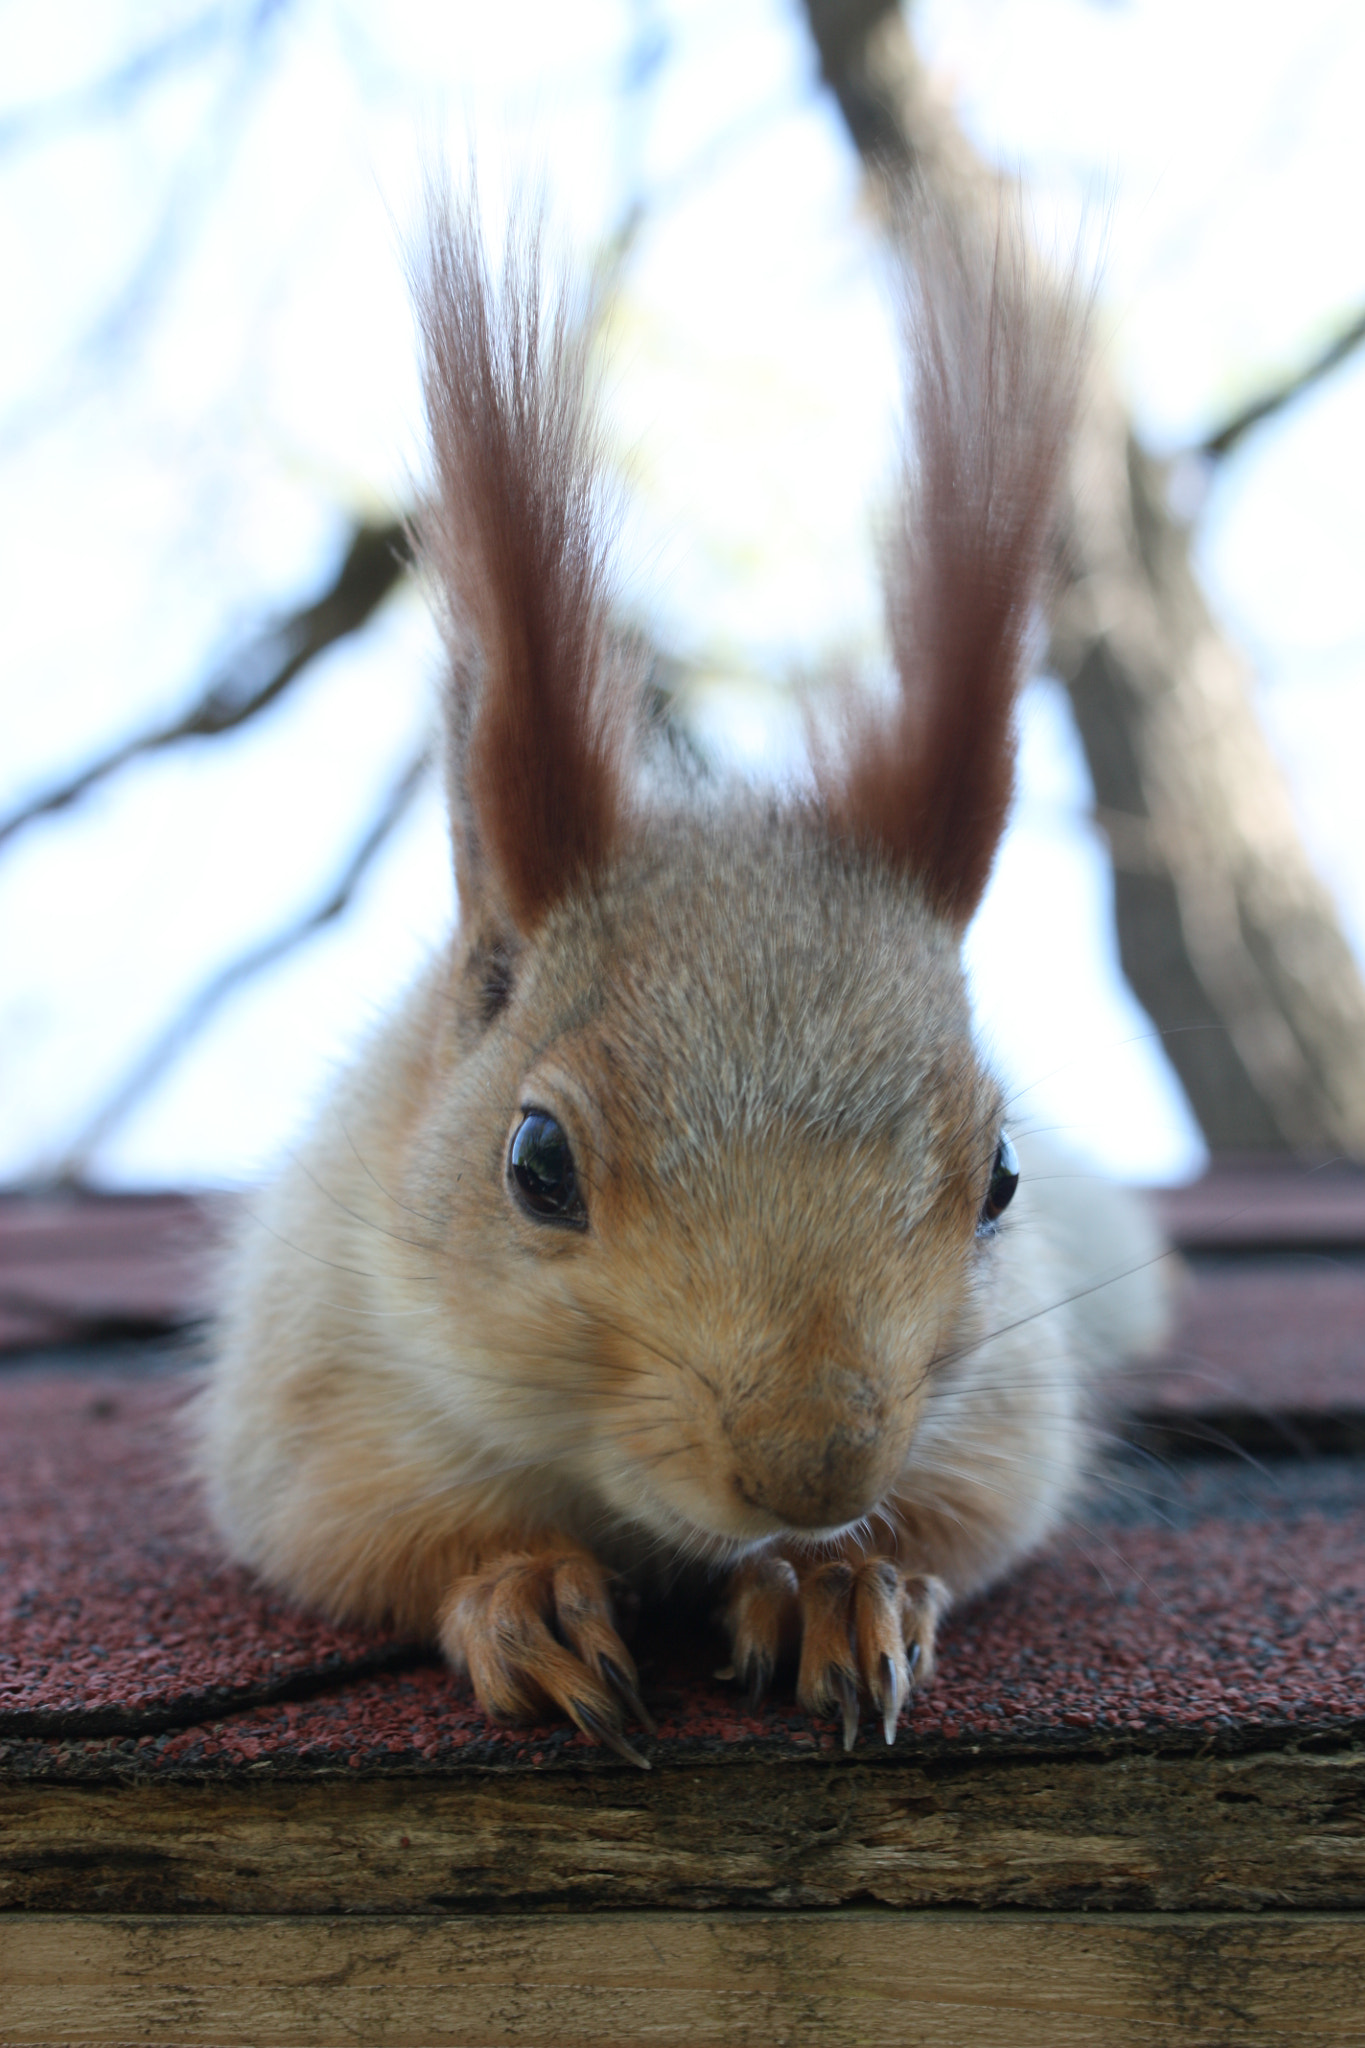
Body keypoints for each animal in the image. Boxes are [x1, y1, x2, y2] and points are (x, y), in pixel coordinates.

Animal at [199, 190, 1170, 1765]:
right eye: (534, 1162)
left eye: (1003, 1178)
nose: (812, 1472)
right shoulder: (313, 1392)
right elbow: (365, 1534)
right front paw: (520, 1590)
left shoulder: (1006, 1413)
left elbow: (976, 1513)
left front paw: (839, 1581)